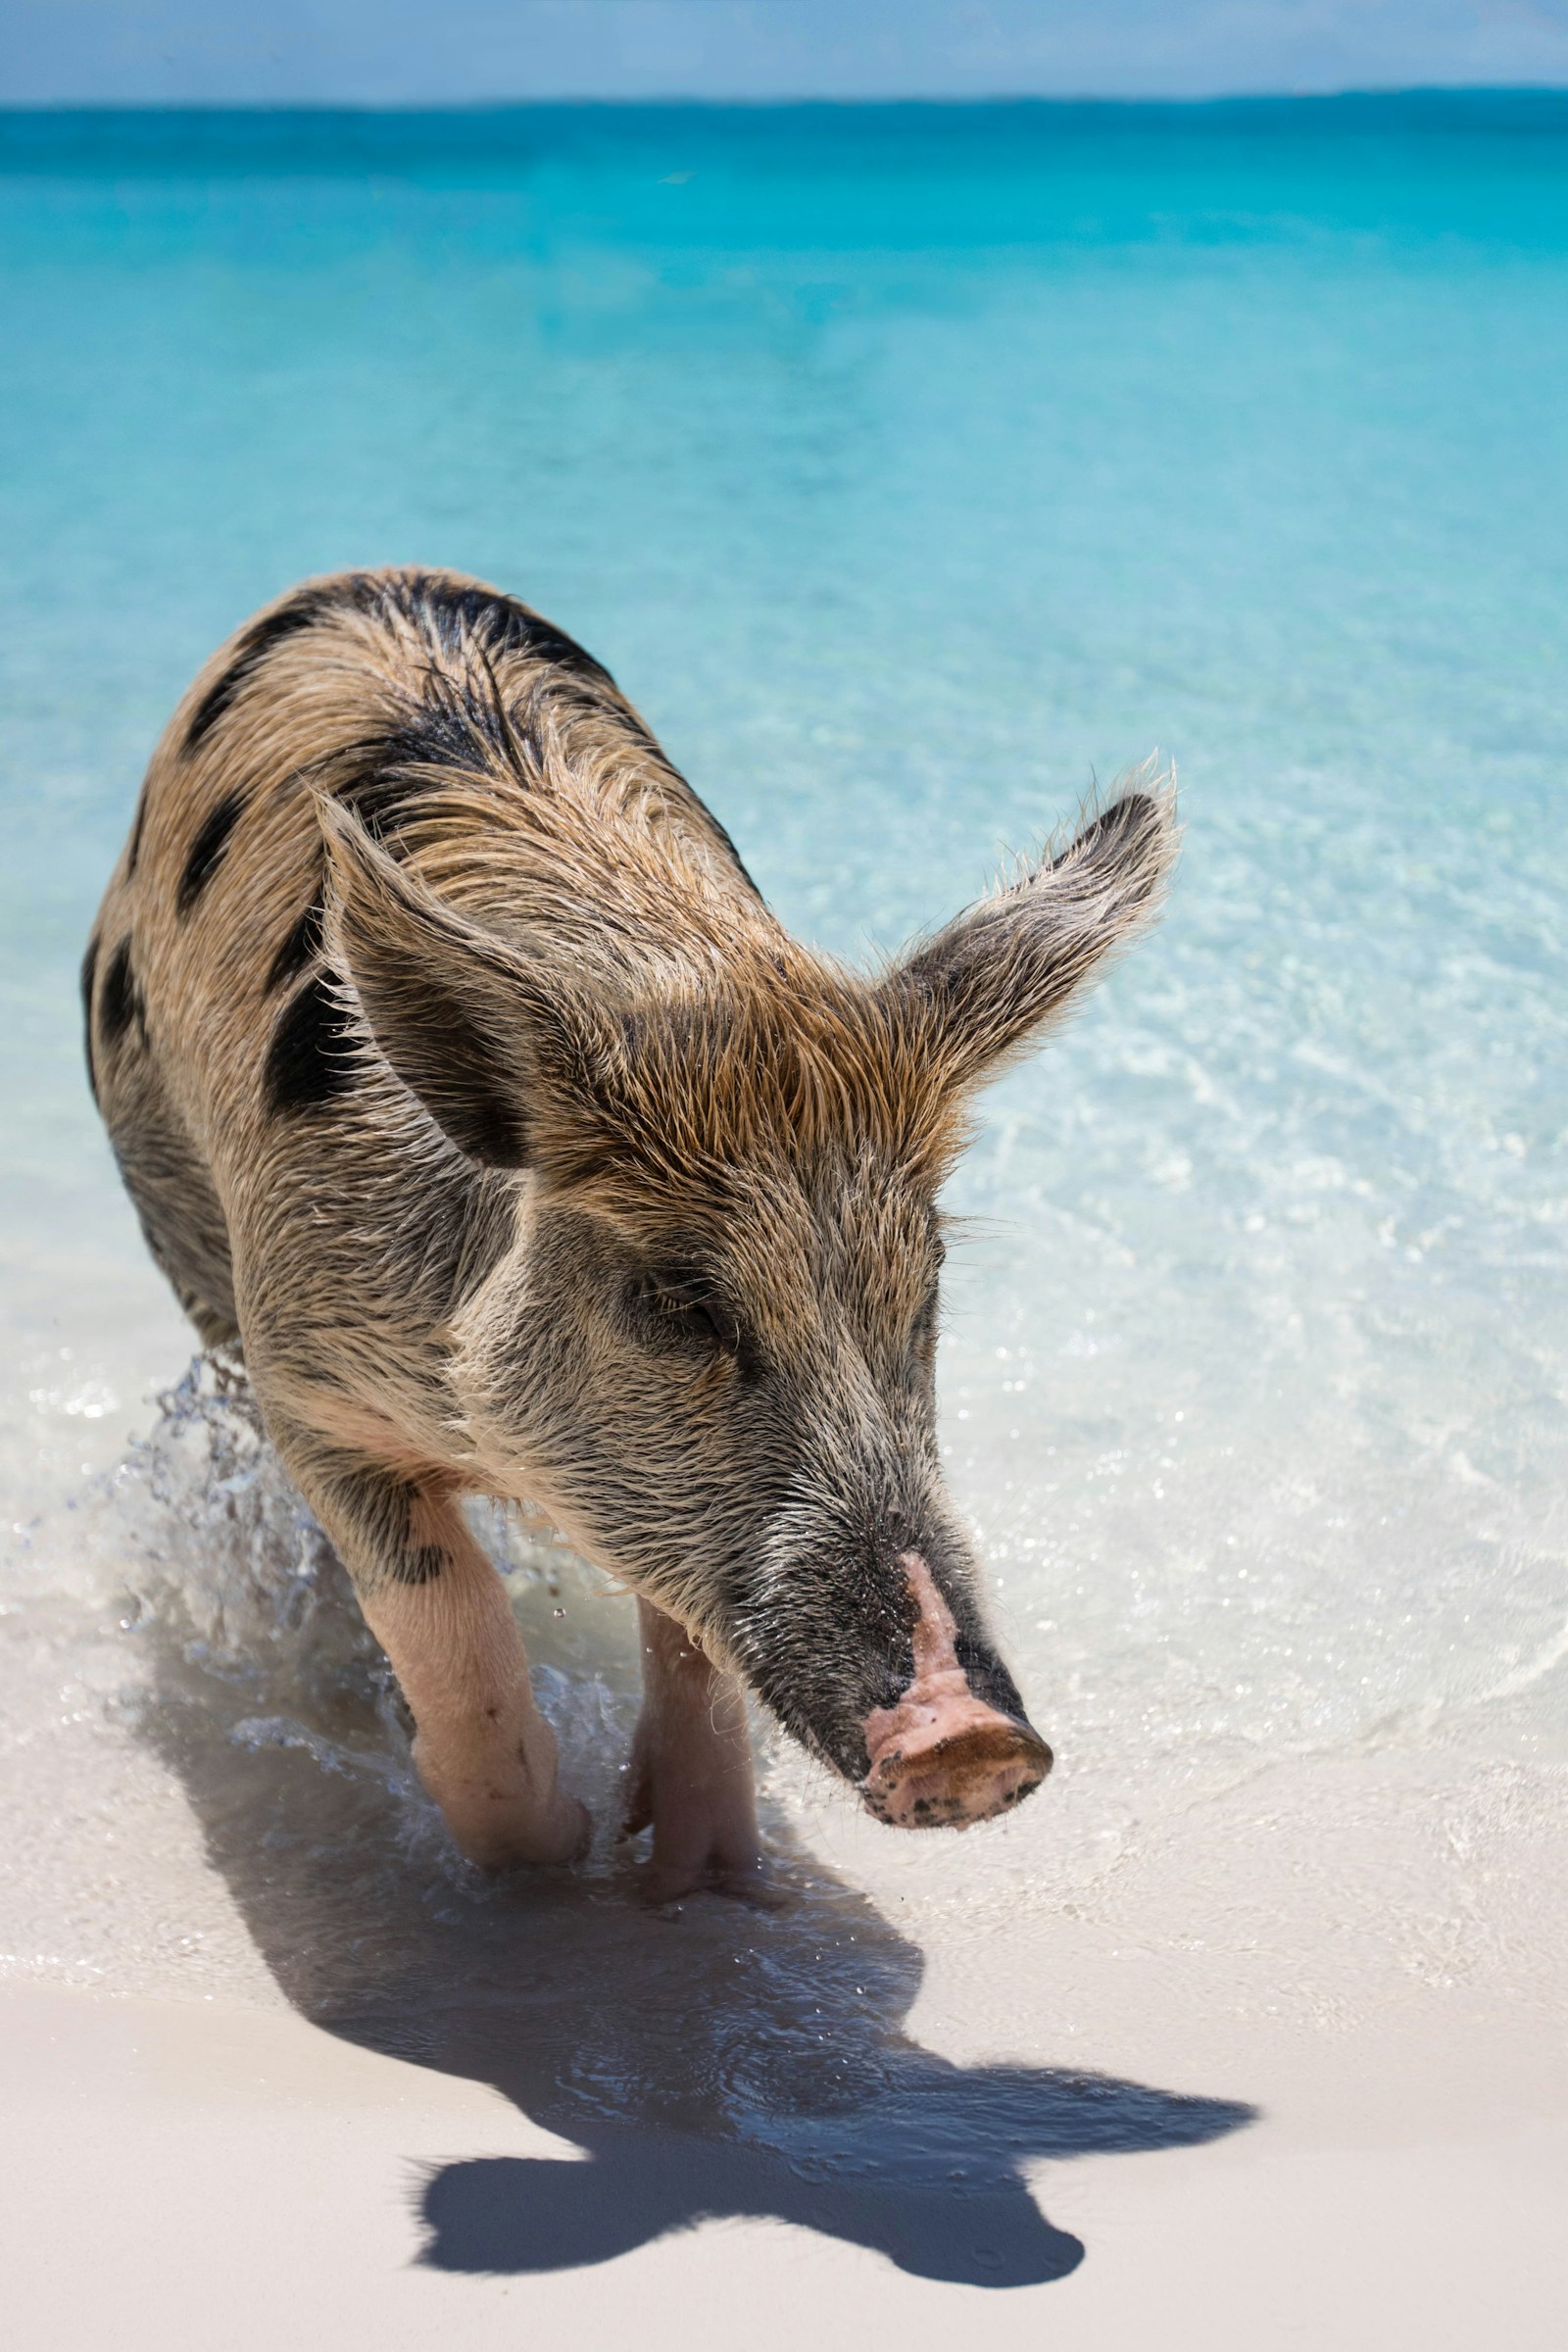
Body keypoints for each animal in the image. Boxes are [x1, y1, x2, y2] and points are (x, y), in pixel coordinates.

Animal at [83, 569, 1176, 1899]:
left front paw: (695, 1872)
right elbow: (444, 1610)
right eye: (680, 1300)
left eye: (923, 1289)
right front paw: (554, 1849)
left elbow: (689, 1636)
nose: (968, 1739)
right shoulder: (306, 1367)